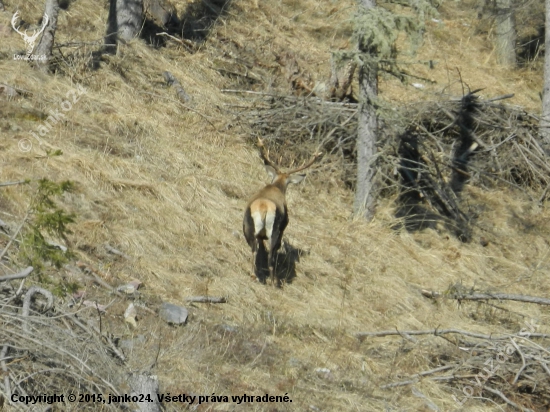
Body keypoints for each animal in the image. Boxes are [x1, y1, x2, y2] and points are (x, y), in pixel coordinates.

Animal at [244, 138, 322, 286]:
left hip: (248, 227)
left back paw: (254, 275)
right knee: (271, 254)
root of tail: (263, 207)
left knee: (254, 249)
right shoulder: (284, 225)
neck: (276, 186)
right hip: (274, 229)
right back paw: (274, 282)